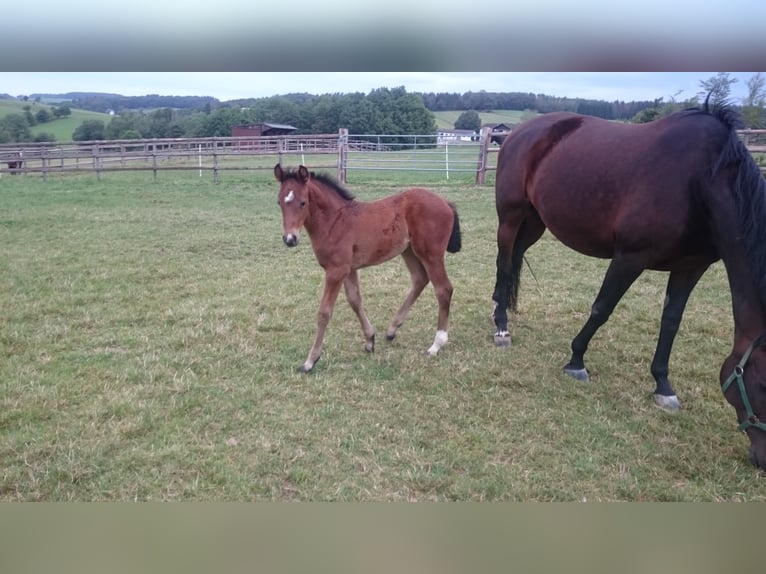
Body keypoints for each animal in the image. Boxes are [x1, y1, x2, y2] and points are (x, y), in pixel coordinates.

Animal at [274, 164, 462, 376]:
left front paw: (310, 361)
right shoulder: (348, 269)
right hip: (409, 251)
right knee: (420, 279)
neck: (335, 221)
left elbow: (324, 312)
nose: (290, 239)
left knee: (443, 289)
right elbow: (355, 300)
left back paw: (436, 345)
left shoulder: (336, 270)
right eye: (279, 202)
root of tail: (446, 202)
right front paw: (370, 340)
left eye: (303, 202)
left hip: (431, 254)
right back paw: (392, 330)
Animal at [492, 102, 766, 472]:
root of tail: (518, 133)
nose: (762, 460)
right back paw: (501, 327)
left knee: (513, 263)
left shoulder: (690, 267)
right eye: (763, 383)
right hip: (510, 216)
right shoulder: (630, 257)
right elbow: (601, 308)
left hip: (535, 221)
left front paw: (663, 385)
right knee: (504, 265)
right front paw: (576, 361)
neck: (700, 180)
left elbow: (671, 323)